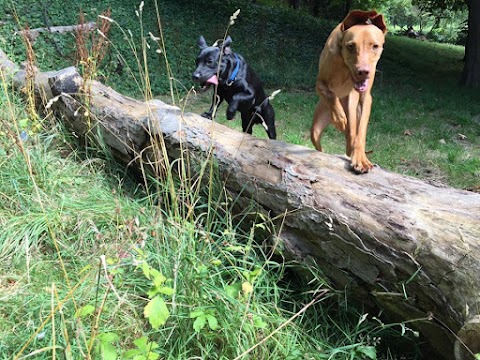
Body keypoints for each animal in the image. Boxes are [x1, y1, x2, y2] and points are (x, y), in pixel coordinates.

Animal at [312, 10, 386, 174]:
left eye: (375, 46)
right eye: (351, 46)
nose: (363, 72)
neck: (344, 66)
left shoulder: (364, 97)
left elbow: (361, 130)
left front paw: (361, 158)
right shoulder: (319, 83)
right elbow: (330, 94)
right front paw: (339, 118)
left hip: (353, 106)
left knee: (352, 132)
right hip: (316, 129)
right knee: (319, 145)